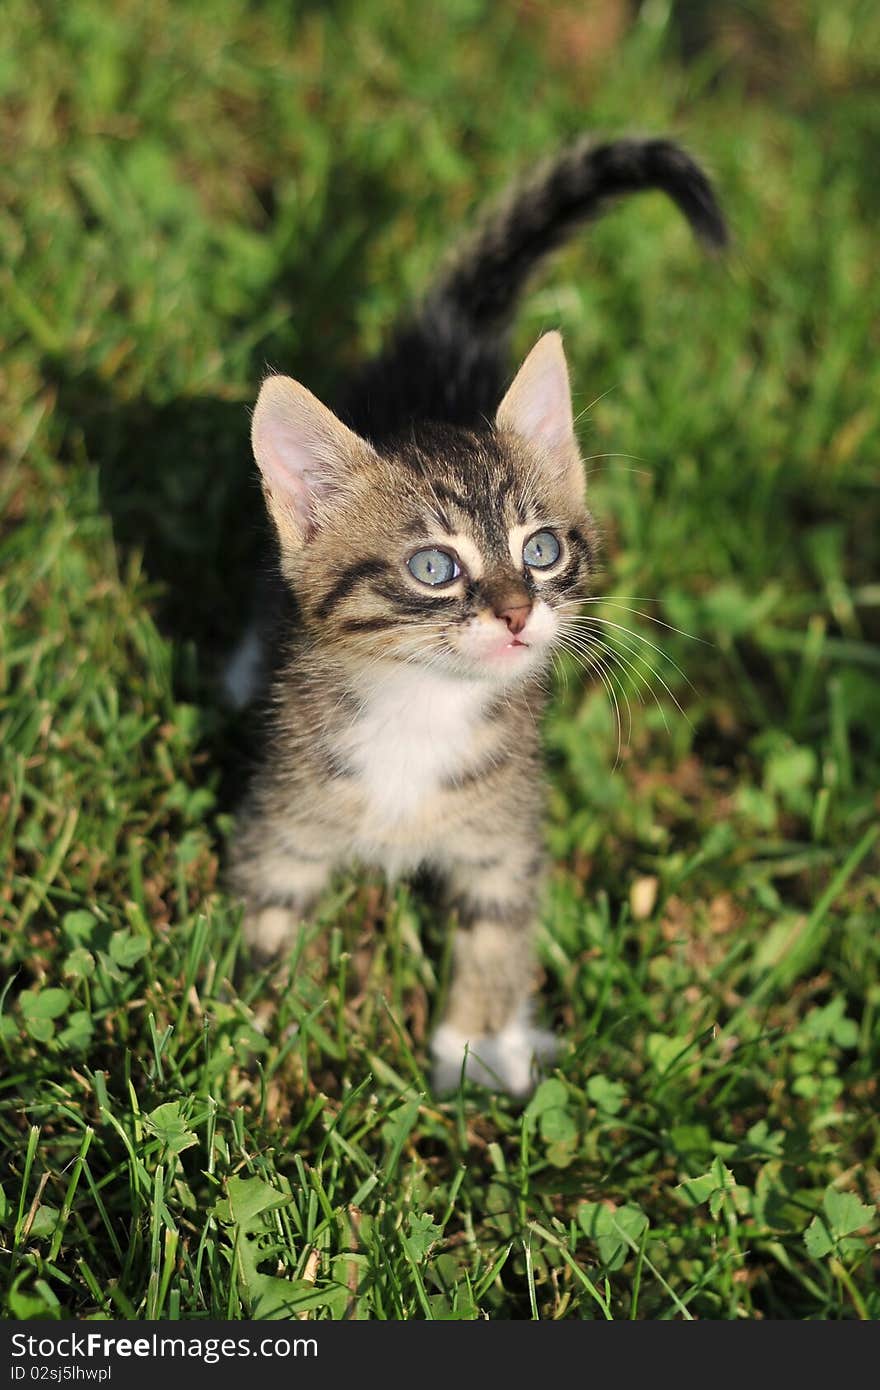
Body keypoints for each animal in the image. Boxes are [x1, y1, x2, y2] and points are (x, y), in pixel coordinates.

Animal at [227, 141, 728, 1095]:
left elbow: (497, 929)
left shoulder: (507, 828)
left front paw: (480, 1044)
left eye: (543, 550)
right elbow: (266, 914)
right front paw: (250, 1036)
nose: (518, 609)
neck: (422, 705)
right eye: (435, 567)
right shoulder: (286, 814)